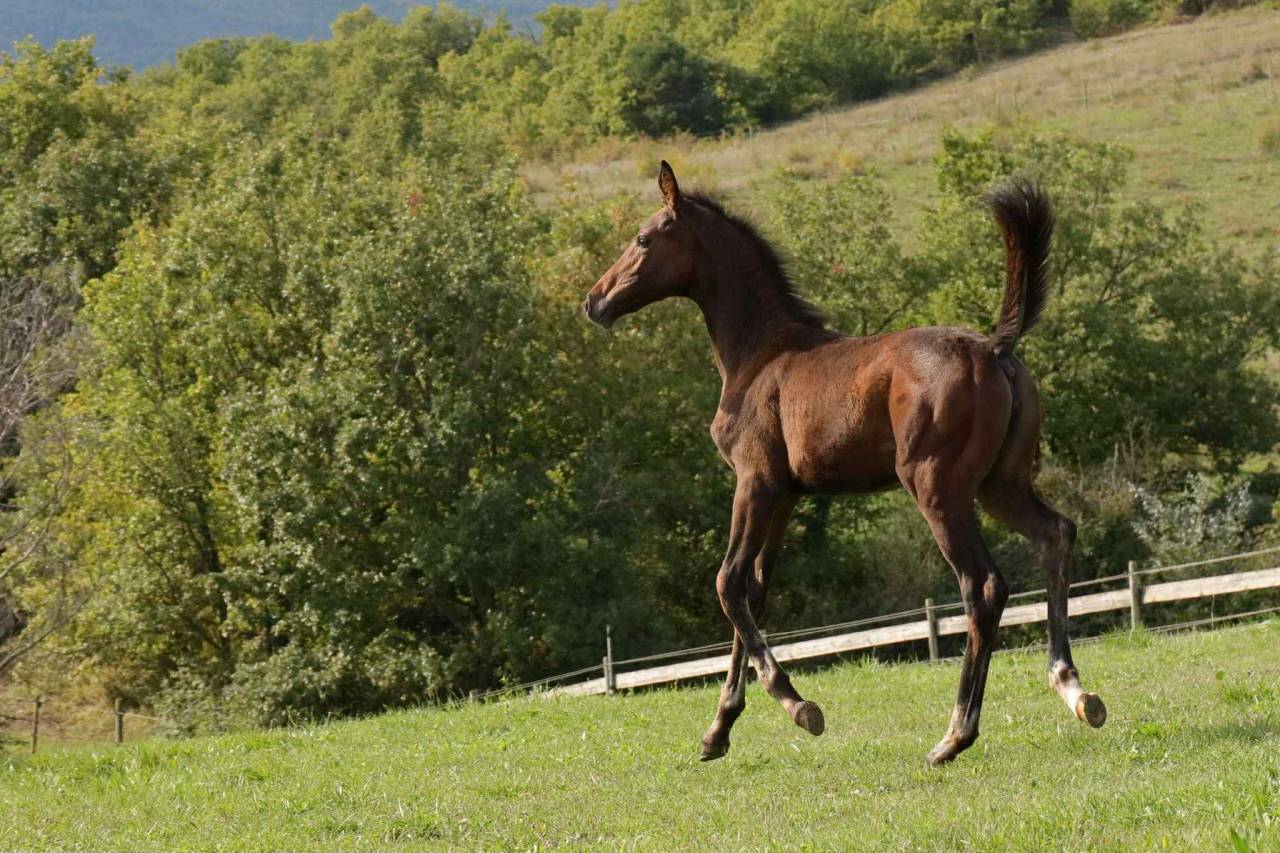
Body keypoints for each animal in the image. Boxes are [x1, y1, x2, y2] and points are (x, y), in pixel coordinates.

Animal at [583, 161, 1106, 767]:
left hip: (937, 488)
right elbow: (755, 591)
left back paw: (954, 735)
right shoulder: (784, 495)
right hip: (1001, 485)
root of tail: (995, 350)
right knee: (1056, 534)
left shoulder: (753, 482)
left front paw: (797, 705)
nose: (594, 301)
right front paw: (718, 729)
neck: (759, 354)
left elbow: (727, 583)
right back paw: (1075, 691)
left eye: (643, 238)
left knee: (983, 586)